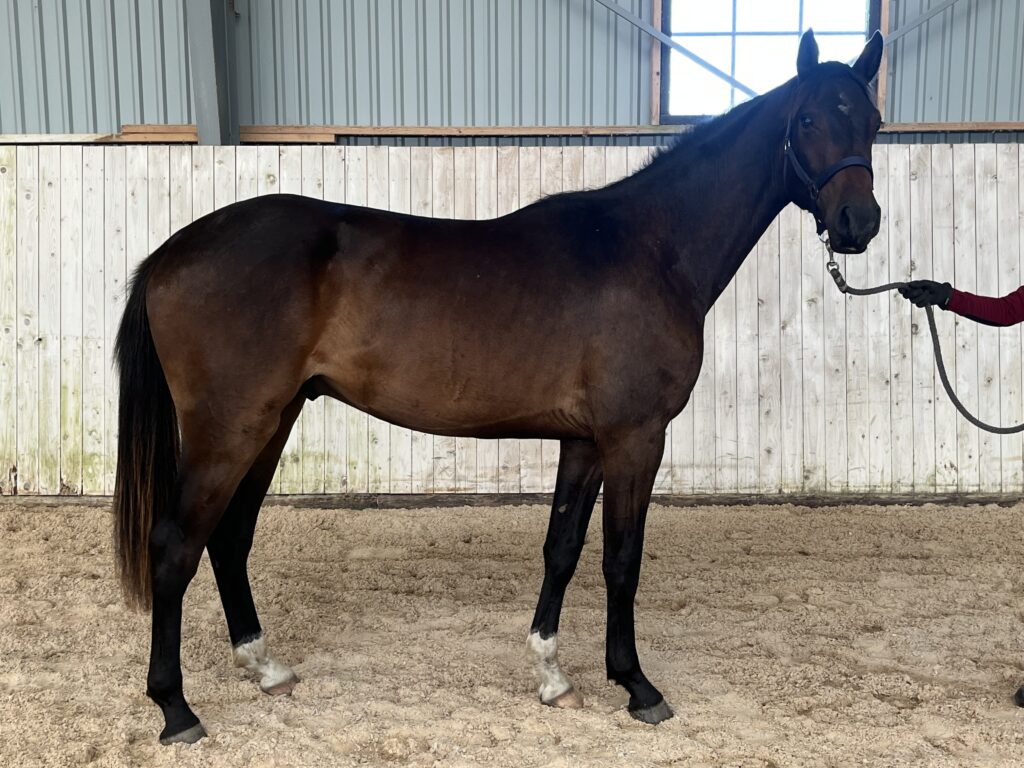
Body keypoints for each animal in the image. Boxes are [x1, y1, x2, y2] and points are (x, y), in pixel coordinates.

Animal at [114, 29, 884, 744]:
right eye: (809, 119)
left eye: (872, 119)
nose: (859, 224)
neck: (650, 247)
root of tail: (170, 253)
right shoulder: (635, 437)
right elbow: (622, 558)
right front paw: (636, 684)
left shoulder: (584, 441)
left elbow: (563, 549)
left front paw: (552, 674)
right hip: (230, 427)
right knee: (176, 545)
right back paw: (176, 708)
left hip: (271, 421)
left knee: (229, 537)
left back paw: (265, 667)